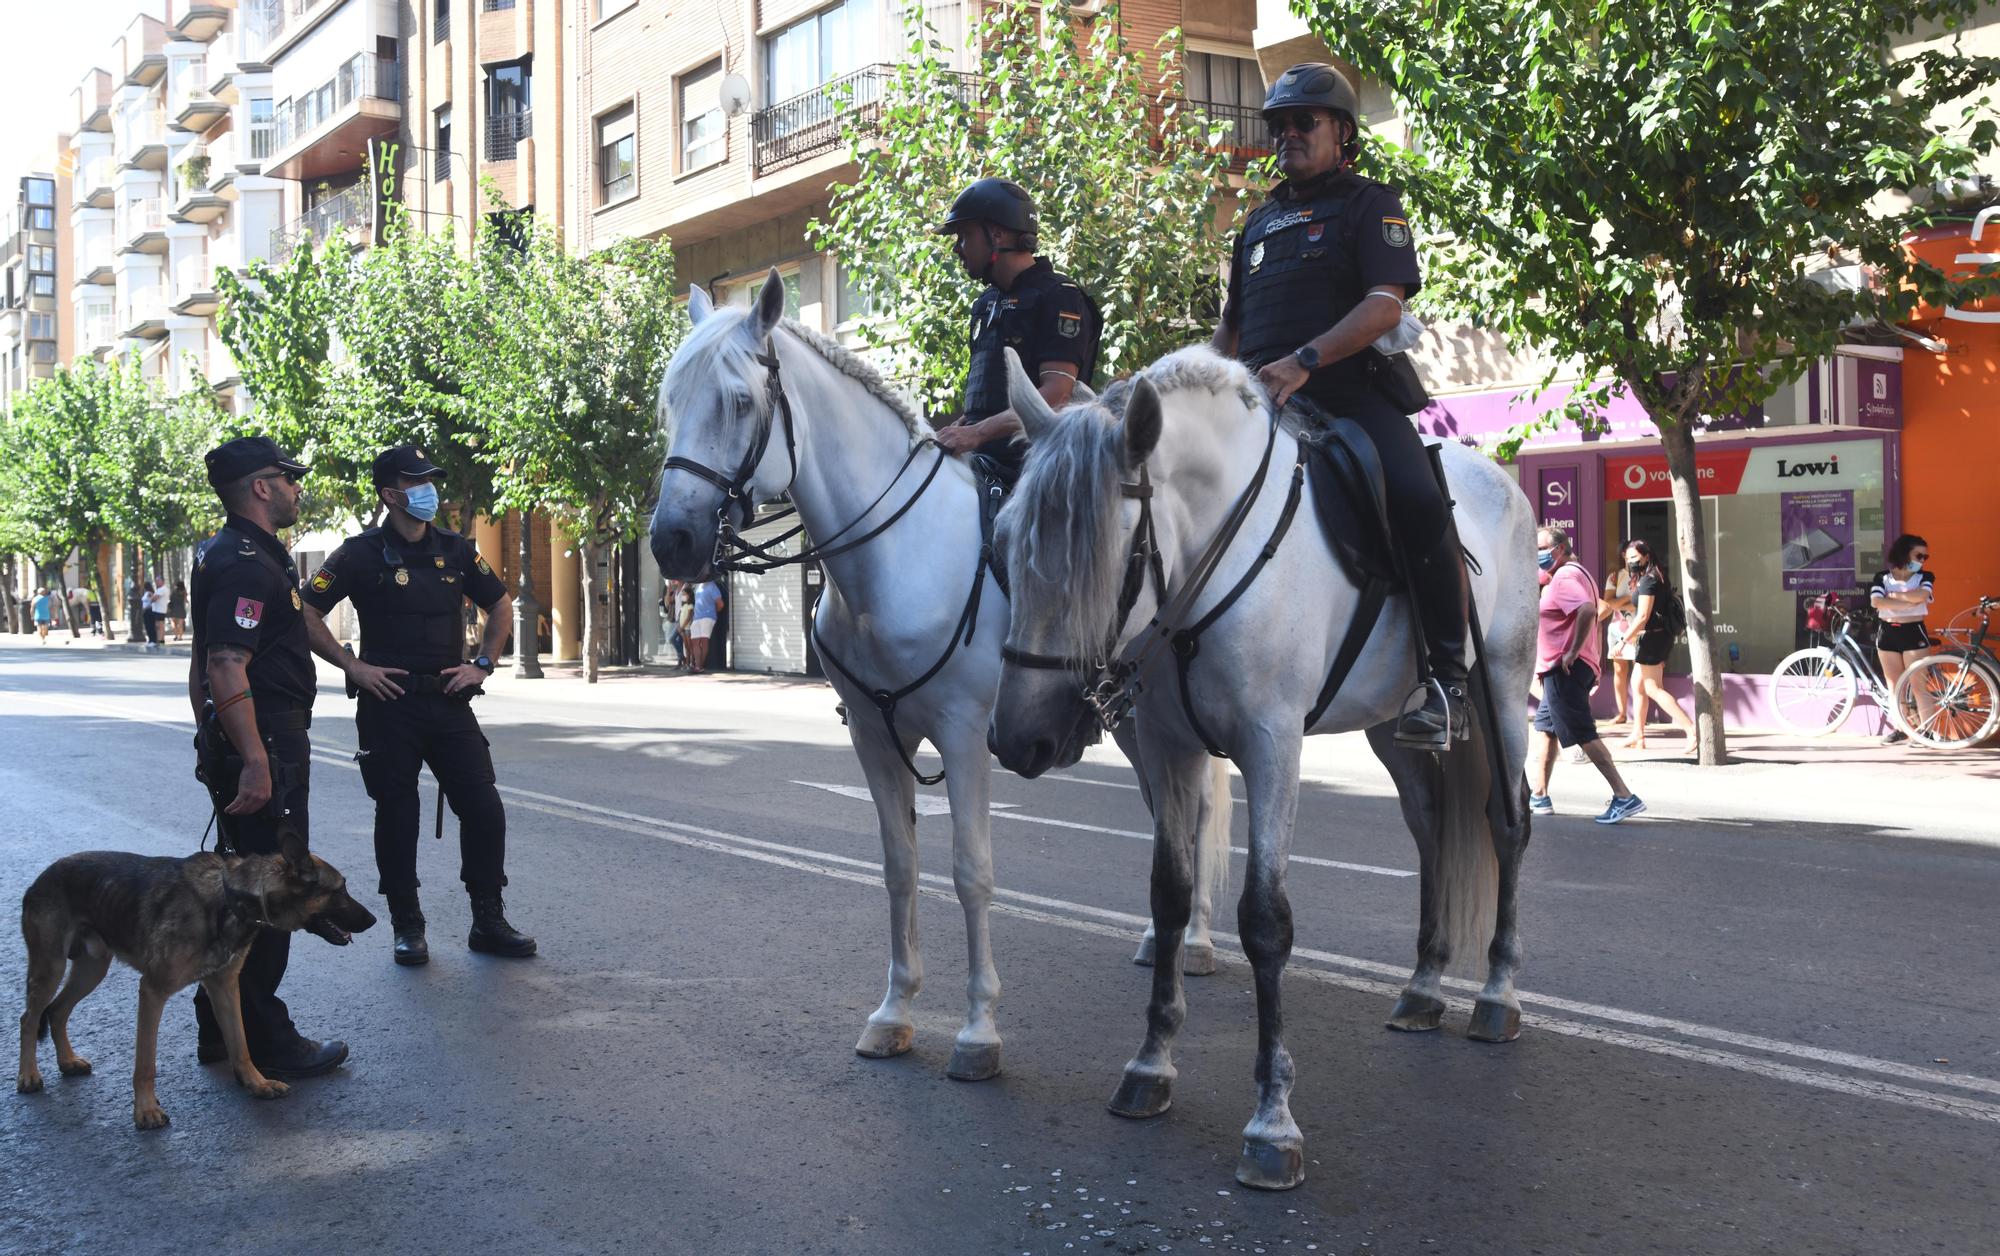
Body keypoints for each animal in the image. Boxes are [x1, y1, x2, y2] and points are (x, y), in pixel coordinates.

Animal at [17, 828, 376, 1136]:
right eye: (340, 889)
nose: (373, 919)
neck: (231, 899)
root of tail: (43, 875)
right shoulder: (153, 991)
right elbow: (145, 1063)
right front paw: (145, 1111)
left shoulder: (224, 988)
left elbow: (241, 1044)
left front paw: (256, 1084)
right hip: (50, 967)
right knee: (30, 1017)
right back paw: (29, 1075)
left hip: (92, 969)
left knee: (57, 1011)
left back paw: (66, 1061)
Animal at [648, 270, 1224, 1088]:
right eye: (670, 402)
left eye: (737, 401)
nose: (673, 540)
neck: (892, 558)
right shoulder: (872, 738)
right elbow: (899, 868)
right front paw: (895, 1012)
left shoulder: (964, 736)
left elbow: (970, 873)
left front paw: (978, 1030)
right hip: (1130, 721)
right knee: (1166, 808)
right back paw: (1160, 938)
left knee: (1200, 808)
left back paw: (1198, 941)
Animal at [992, 348, 1536, 1192]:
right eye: (1003, 539)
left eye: (1108, 556)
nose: (1018, 741)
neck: (1207, 571)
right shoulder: (1168, 747)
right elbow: (1171, 897)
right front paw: (1151, 1065)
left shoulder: (1273, 745)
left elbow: (1265, 920)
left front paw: (1272, 1120)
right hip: (1391, 727)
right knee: (1432, 831)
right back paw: (1422, 985)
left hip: (1503, 686)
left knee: (1505, 824)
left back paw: (1497, 993)